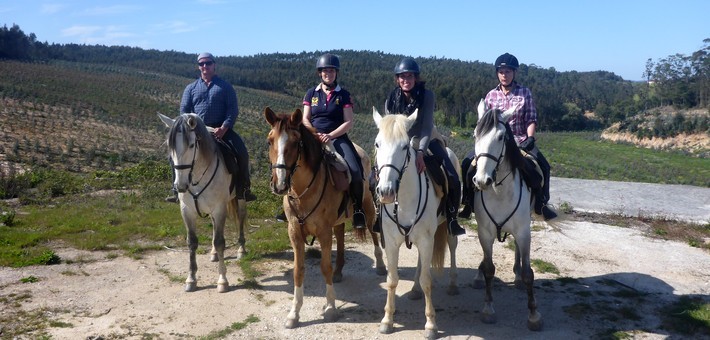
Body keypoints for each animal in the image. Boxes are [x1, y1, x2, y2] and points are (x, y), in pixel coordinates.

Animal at [159, 113, 248, 292]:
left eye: (192, 145)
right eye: (170, 146)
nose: (180, 186)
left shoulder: (219, 208)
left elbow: (220, 242)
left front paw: (222, 280)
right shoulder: (187, 211)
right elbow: (192, 242)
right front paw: (191, 279)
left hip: (240, 198)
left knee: (241, 217)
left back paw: (241, 249)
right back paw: (213, 254)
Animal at [264, 107, 384, 330]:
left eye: (296, 142)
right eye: (270, 141)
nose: (280, 184)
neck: (304, 191)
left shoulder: (323, 232)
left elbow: (325, 267)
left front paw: (330, 308)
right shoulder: (294, 232)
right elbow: (298, 270)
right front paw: (294, 314)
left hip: (367, 206)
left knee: (373, 232)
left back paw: (380, 266)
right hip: (338, 220)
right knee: (342, 236)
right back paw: (339, 272)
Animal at [372, 107, 450, 338]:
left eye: (405, 146)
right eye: (377, 144)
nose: (386, 192)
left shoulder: (426, 240)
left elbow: (427, 281)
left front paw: (431, 324)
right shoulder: (391, 242)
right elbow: (392, 280)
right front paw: (387, 320)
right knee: (419, 264)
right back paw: (414, 290)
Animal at [472, 99, 544, 330]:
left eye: (501, 137)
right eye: (475, 135)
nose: (482, 180)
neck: (499, 192)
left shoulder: (523, 231)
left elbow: (529, 273)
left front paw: (534, 315)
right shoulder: (484, 233)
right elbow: (489, 268)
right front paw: (488, 309)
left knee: (519, 253)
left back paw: (518, 276)